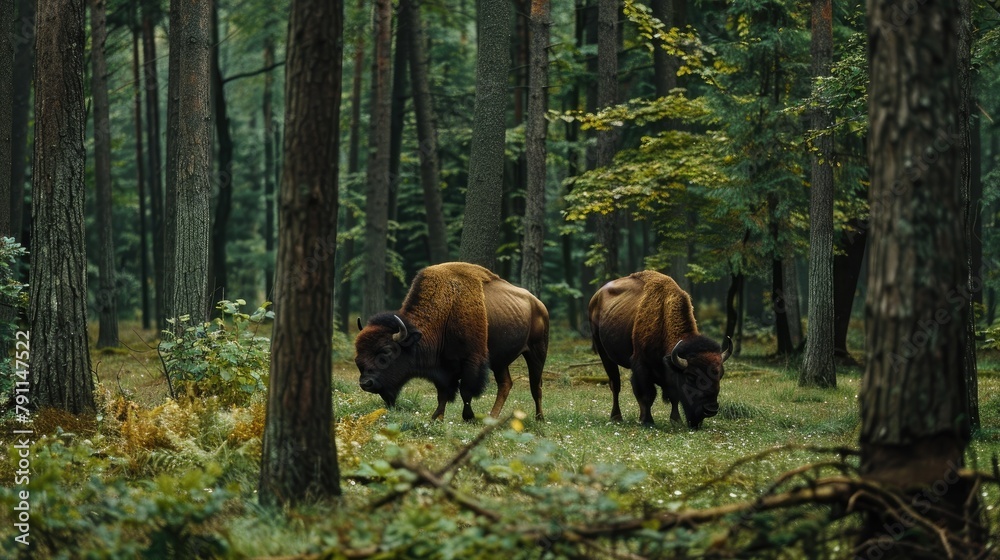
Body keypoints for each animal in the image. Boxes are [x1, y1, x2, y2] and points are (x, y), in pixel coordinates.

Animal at [355, 262, 549, 421]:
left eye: (386, 352)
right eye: (358, 356)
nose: (366, 383)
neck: (446, 308)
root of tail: (539, 304)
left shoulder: (471, 361)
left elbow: (466, 391)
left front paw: (468, 417)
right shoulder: (443, 367)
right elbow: (443, 393)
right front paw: (437, 417)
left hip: (537, 352)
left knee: (536, 386)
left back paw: (539, 418)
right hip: (500, 361)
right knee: (505, 384)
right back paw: (492, 417)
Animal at [589, 271, 732, 428]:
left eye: (720, 375)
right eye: (690, 376)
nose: (710, 409)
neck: (663, 319)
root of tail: (596, 296)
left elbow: (673, 396)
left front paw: (676, 421)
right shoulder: (641, 366)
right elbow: (647, 395)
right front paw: (647, 421)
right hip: (603, 352)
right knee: (615, 384)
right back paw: (616, 417)